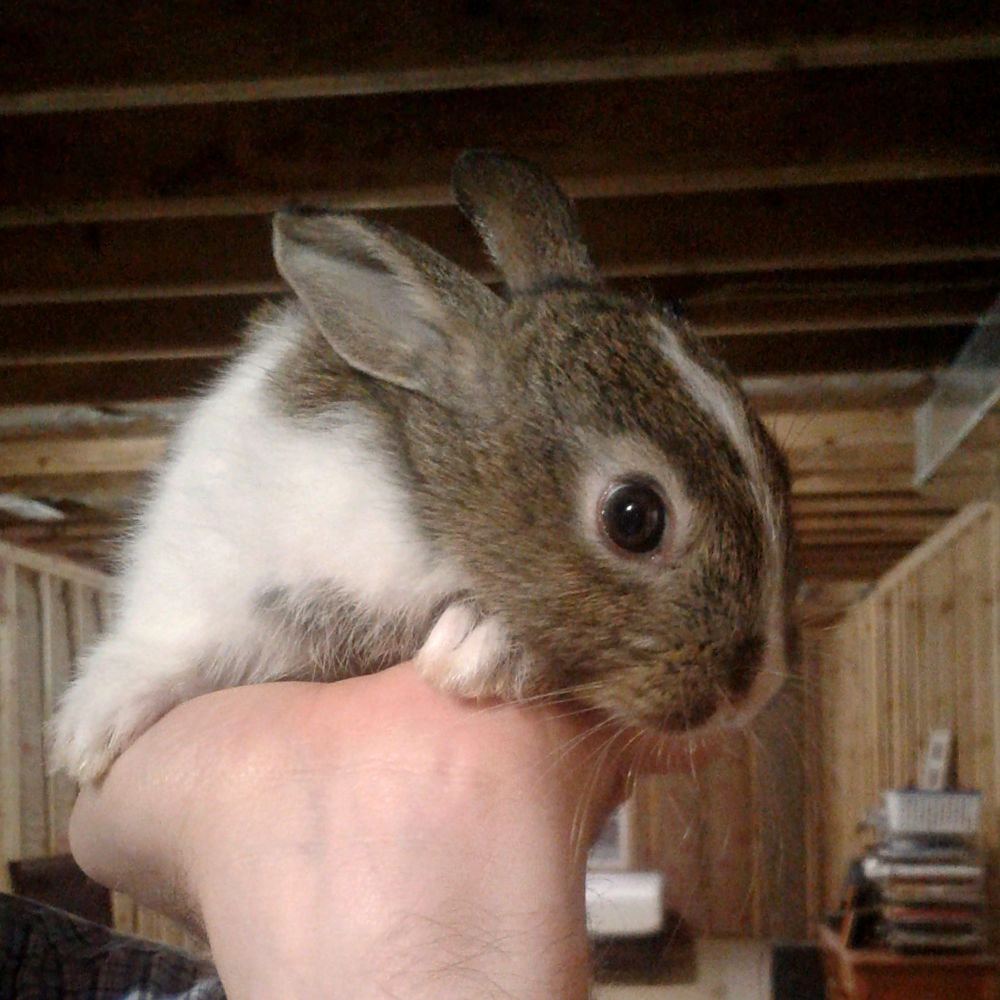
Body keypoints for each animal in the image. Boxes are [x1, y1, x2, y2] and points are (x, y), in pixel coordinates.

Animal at [50, 152, 792, 784]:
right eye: (634, 517)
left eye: (779, 466)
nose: (752, 690)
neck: (424, 505)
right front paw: (89, 734)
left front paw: (482, 648)